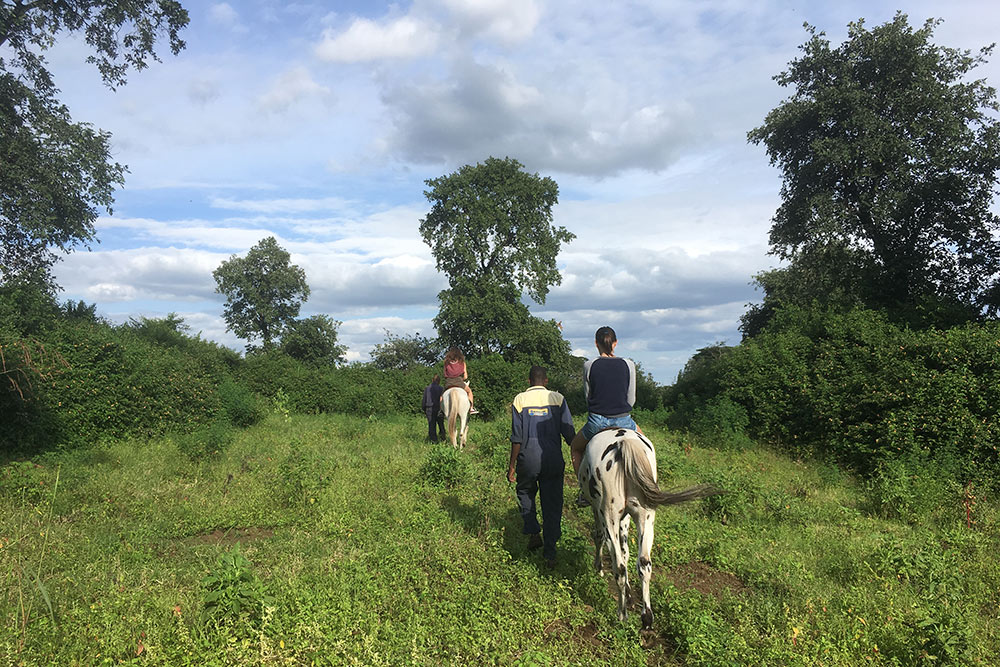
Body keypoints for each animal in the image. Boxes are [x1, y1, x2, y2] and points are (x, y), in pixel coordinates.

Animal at [580, 428, 720, 632]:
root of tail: (624, 443)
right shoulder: (627, 517)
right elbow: (626, 552)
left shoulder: (598, 510)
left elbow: (600, 538)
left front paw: (598, 569)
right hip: (645, 516)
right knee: (644, 563)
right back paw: (646, 618)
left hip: (609, 515)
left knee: (619, 567)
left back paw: (622, 615)